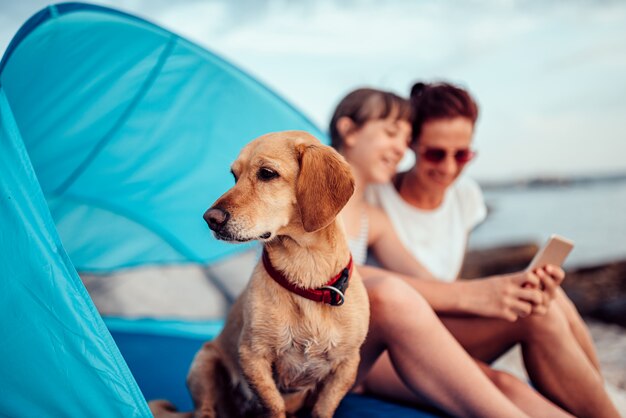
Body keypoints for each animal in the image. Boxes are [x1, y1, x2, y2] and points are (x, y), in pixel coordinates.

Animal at [188, 131, 368, 418]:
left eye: (267, 173)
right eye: (234, 176)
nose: (210, 218)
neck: (306, 273)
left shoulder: (347, 366)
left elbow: (323, 408)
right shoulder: (253, 357)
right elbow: (273, 404)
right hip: (203, 363)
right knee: (205, 410)